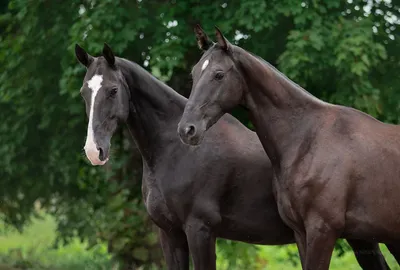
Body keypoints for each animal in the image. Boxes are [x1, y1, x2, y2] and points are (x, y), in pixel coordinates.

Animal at [75, 43, 390, 268]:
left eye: (112, 90)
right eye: (83, 92)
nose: (94, 150)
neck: (173, 152)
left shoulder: (199, 230)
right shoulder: (170, 234)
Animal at [179, 25, 400, 270]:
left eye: (219, 74)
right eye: (194, 73)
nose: (187, 129)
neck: (307, 140)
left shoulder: (322, 231)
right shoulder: (301, 233)